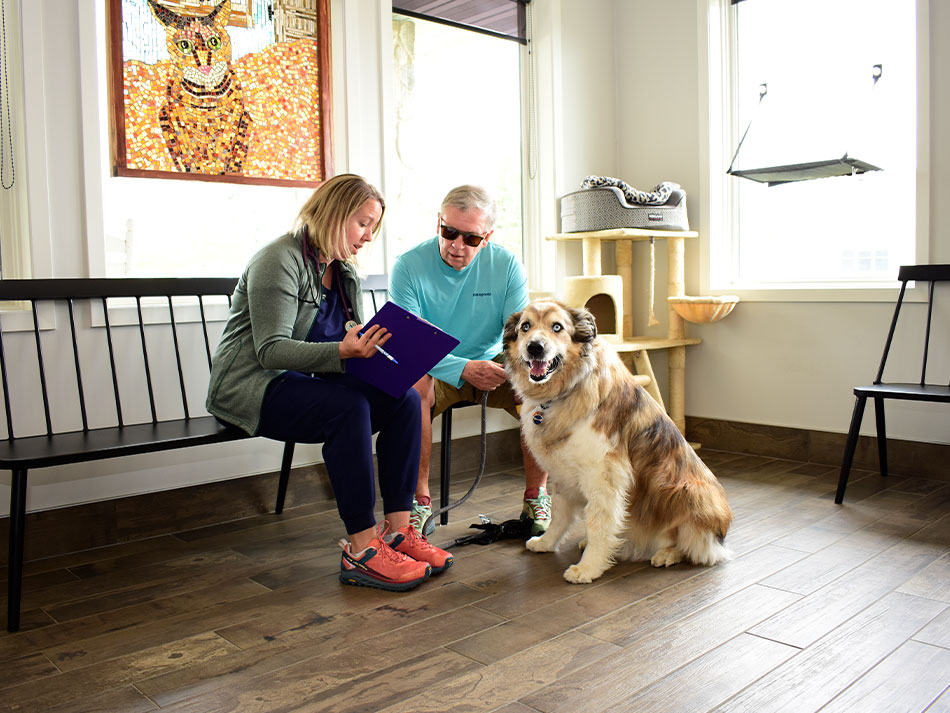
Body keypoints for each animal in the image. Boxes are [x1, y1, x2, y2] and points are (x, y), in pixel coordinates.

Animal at [506, 298, 736, 580]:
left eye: (557, 327)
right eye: (525, 327)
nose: (534, 347)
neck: (565, 390)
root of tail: (721, 535)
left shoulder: (604, 475)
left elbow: (598, 523)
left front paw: (588, 567)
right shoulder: (564, 474)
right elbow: (560, 514)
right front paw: (546, 543)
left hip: (688, 491)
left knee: (694, 547)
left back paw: (666, 554)